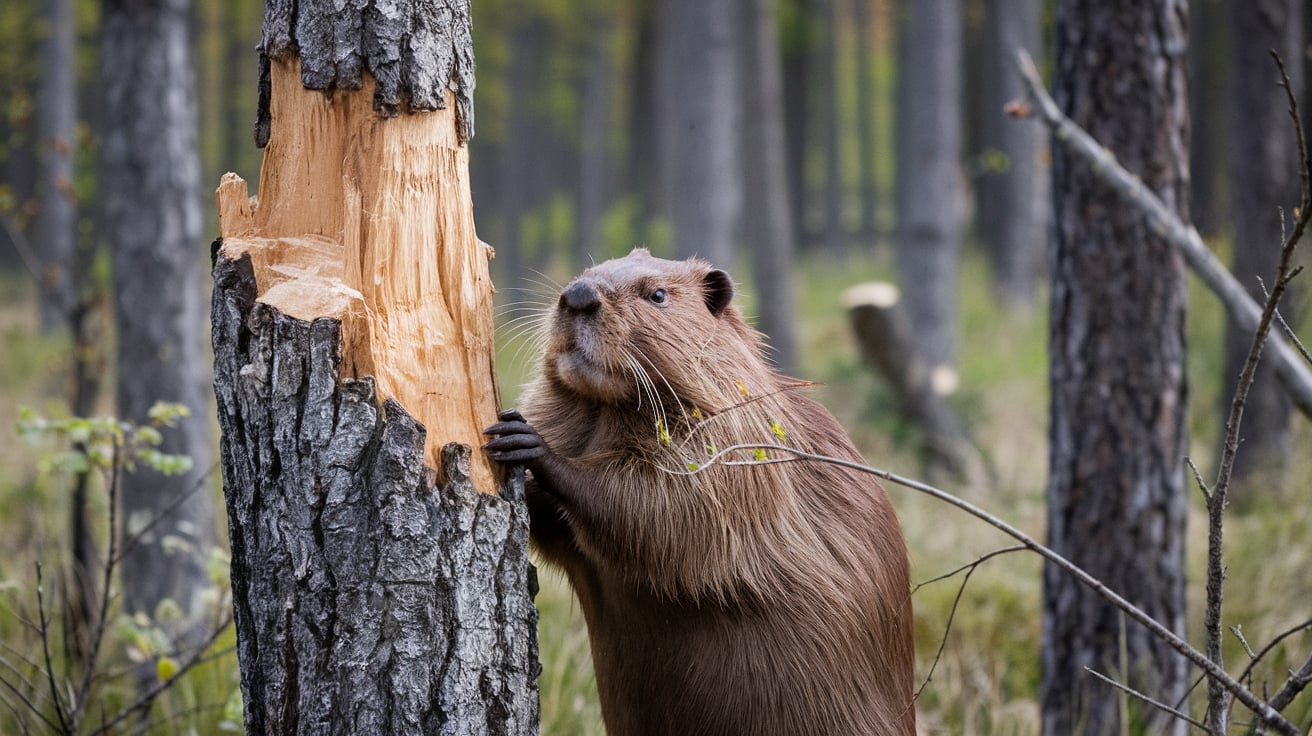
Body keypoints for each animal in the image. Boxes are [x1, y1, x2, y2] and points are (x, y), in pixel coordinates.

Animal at [482, 249, 913, 729]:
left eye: (657, 294)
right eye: (585, 272)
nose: (578, 295)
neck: (603, 415)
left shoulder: (742, 451)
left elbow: (664, 510)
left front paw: (528, 441)